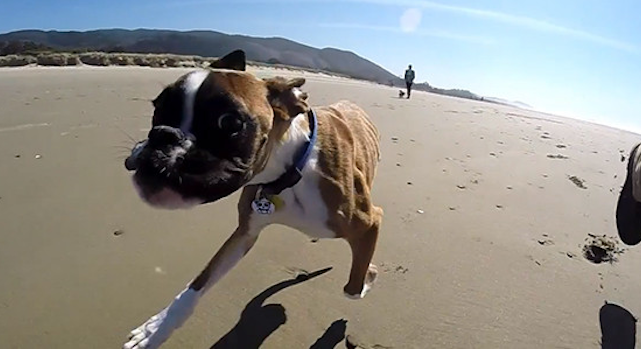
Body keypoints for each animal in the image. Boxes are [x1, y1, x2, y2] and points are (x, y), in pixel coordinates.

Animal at [123, 49, 382, 348]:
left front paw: (369, 274)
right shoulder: (244, 233)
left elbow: (353, 286)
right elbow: (198, 284)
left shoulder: (371, 221)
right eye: (157, 107)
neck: (290, 170)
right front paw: (157, 329)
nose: (163, 135)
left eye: (229, 122)